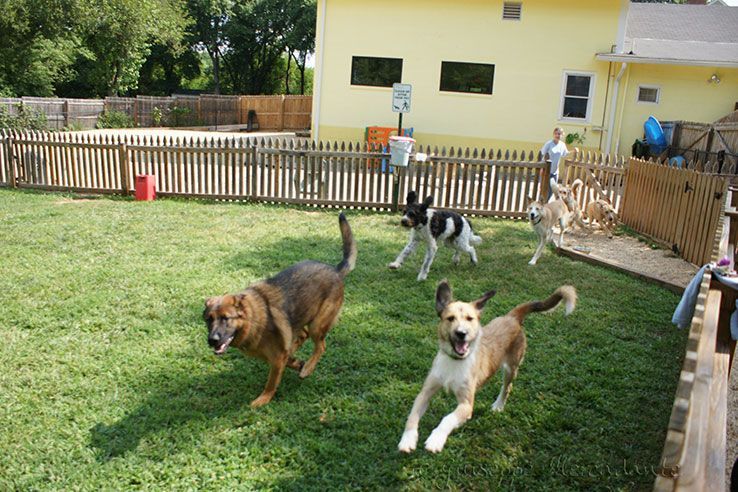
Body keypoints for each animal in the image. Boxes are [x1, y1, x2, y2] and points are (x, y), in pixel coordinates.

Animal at [203, 212, 356, 408]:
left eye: (225, 318)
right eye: (209, 319)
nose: (212, 340)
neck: (253, 319)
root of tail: (335, 270)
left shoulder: (276, 360)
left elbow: (271, 382)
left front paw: (263, 399)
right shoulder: (277, 355)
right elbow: (288, 359)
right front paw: (296, 362)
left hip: (317, 324)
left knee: (320, 346)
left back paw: (308, 368)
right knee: (303, 336)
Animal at [396, 280, 576, 454]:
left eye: (470, 319)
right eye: (450, 318)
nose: (461, 333)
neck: (455, 361)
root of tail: (512, 317)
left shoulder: (466, 405)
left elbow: (447, 419)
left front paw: (436, 439)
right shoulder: (425, 392)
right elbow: (412, 416)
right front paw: (408, 440)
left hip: (511, 368)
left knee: (507, 388)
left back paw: (498, 405)